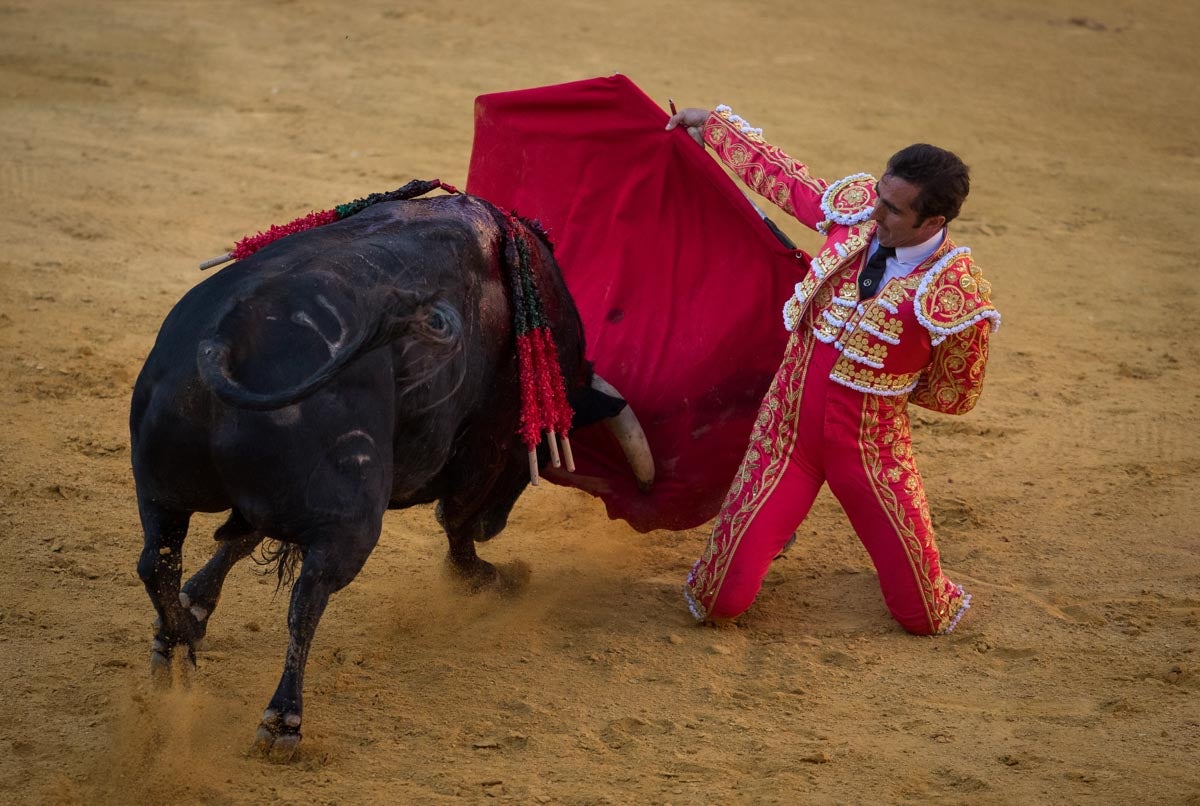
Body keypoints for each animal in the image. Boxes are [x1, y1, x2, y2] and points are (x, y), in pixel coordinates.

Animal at [132, 191, 648, 758]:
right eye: (528, 446)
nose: (496, 526)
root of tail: (222, 342)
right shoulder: (485, 442)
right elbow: (457, 523)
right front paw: (491, 575)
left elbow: (237, 541)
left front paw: (195, 610)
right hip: (353, 520)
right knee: (308, 597)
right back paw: (282, 720)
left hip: (161, 490)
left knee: (158, 562)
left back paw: (176, 647)